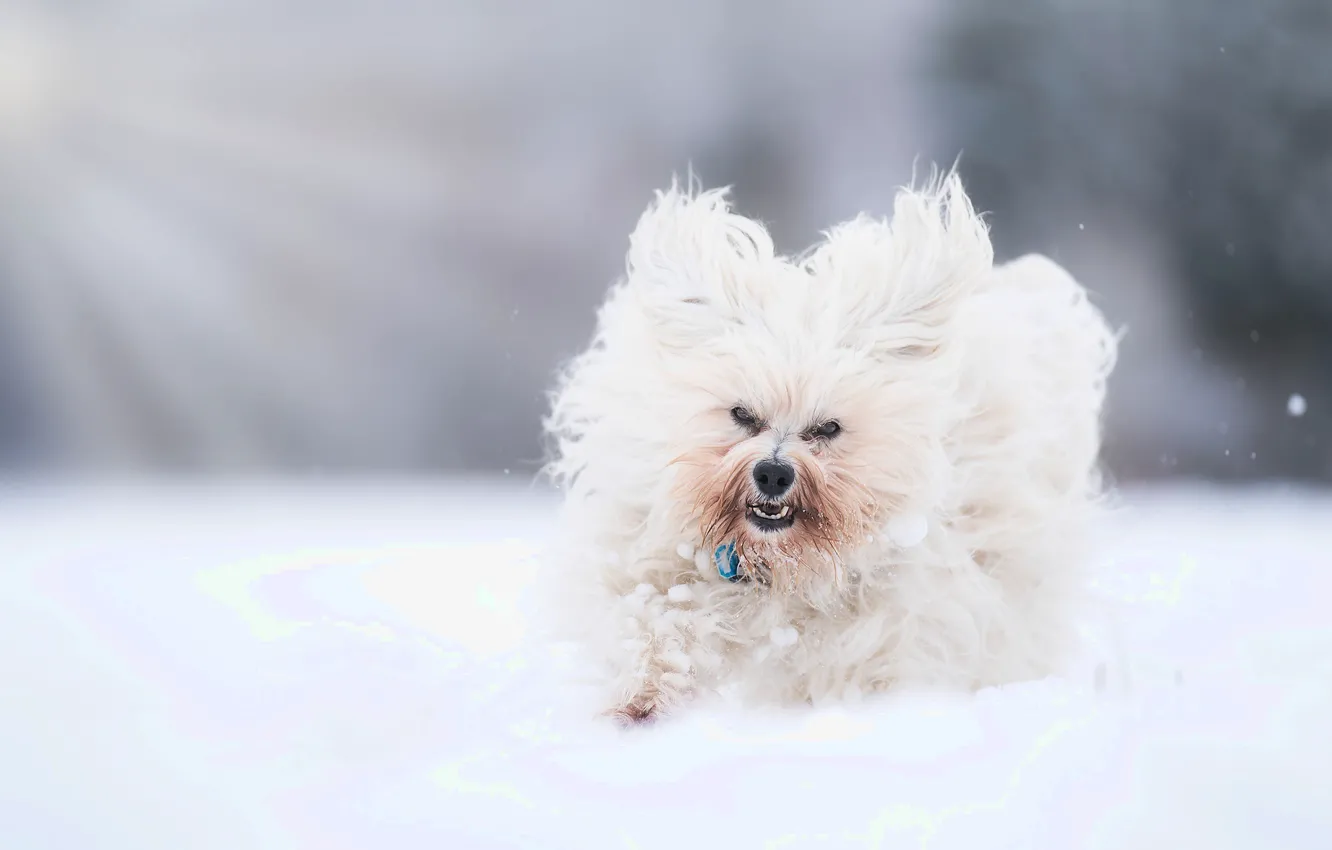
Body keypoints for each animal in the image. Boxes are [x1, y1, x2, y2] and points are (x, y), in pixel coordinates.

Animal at [540, 173, 1113, 724]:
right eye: (742, 414)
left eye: (828, 427)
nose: (773, 474)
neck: (771, 557)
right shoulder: (645, 542)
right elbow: (652, 611)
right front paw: (642, 696)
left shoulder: (891, 608)